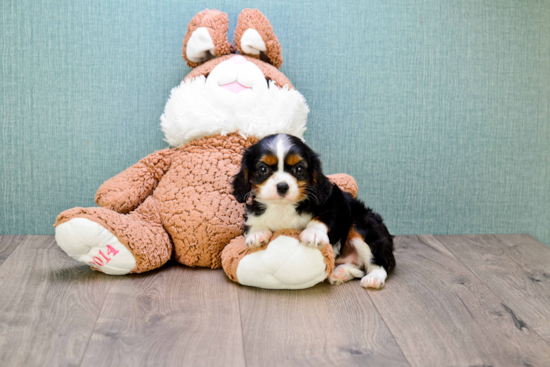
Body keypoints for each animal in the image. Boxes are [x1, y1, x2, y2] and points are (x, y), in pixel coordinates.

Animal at [233, 134, 396, 288]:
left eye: (299, 169)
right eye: (263, 169)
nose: (282, 186)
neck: (283, 206)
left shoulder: (334, 202)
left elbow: (321, 217)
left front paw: (313, 233)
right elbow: (254, 221)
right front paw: (257, 233)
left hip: (364, 225)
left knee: (380, 262)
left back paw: (374, 278)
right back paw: (340, 273)